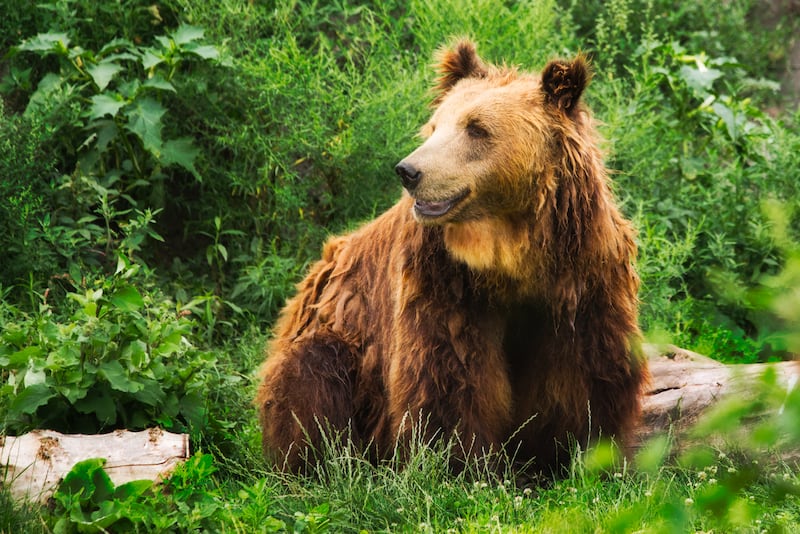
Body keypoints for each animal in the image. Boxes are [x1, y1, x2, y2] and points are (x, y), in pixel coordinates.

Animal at [256, 40, 648, 477]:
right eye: (434, 127)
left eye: (476, 128)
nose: (408, 171)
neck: (513, 253)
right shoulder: (444, 278)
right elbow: (449, 370)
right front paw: (458, 462)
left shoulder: (581, 270)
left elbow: (584, 366)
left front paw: (582, 453)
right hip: (337, 336)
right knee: (313, 379)